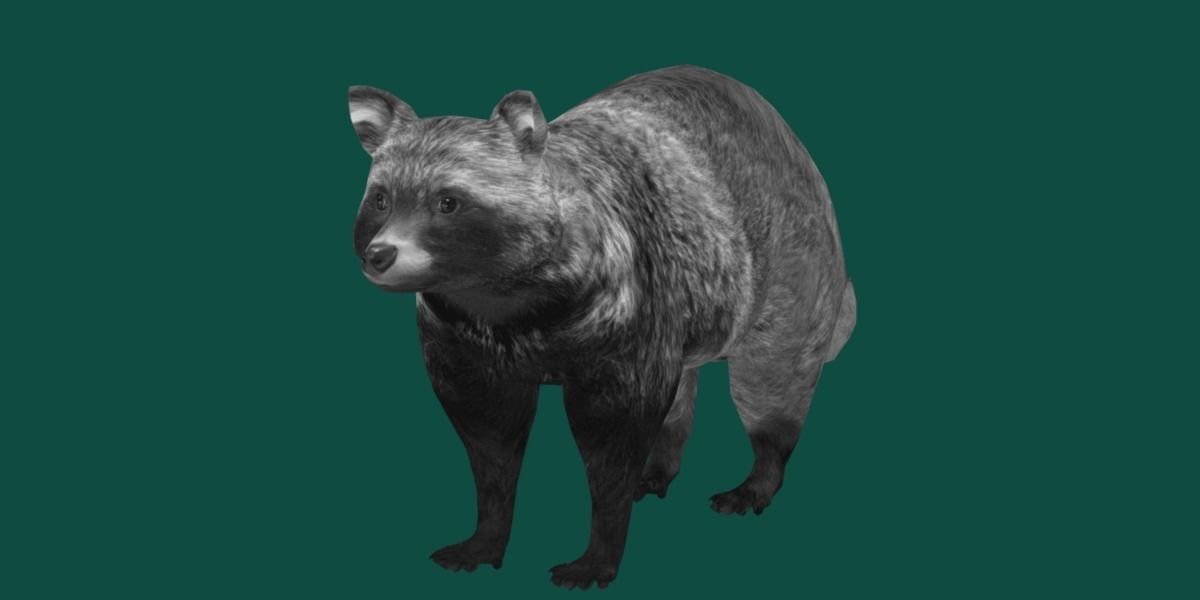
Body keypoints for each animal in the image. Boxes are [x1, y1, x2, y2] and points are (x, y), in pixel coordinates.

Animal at [348, 65, 855, 589]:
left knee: (771, 380)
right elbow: (489, 436)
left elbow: (613, 435)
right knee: (679, 395)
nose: (379, 255)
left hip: (787, 266)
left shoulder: (630, 301)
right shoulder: (458, 335)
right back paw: (660, 463)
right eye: (381, 200)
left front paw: (601, 547)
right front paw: (488, 531)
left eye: (447, 202)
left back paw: (761, 470)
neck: (496, 297)